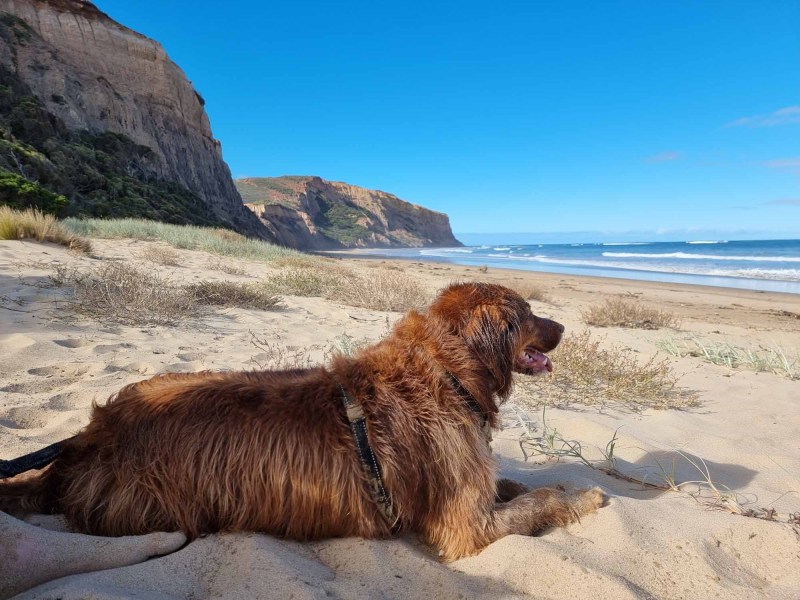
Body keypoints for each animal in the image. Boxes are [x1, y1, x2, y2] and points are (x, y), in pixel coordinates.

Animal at [0, 284, 600, 560]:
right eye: (529, 313)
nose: (565, 328)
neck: (444, 368)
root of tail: (87, 441)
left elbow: (516, 484)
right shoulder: (466, 528)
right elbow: (537, 501)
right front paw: (587, 497)